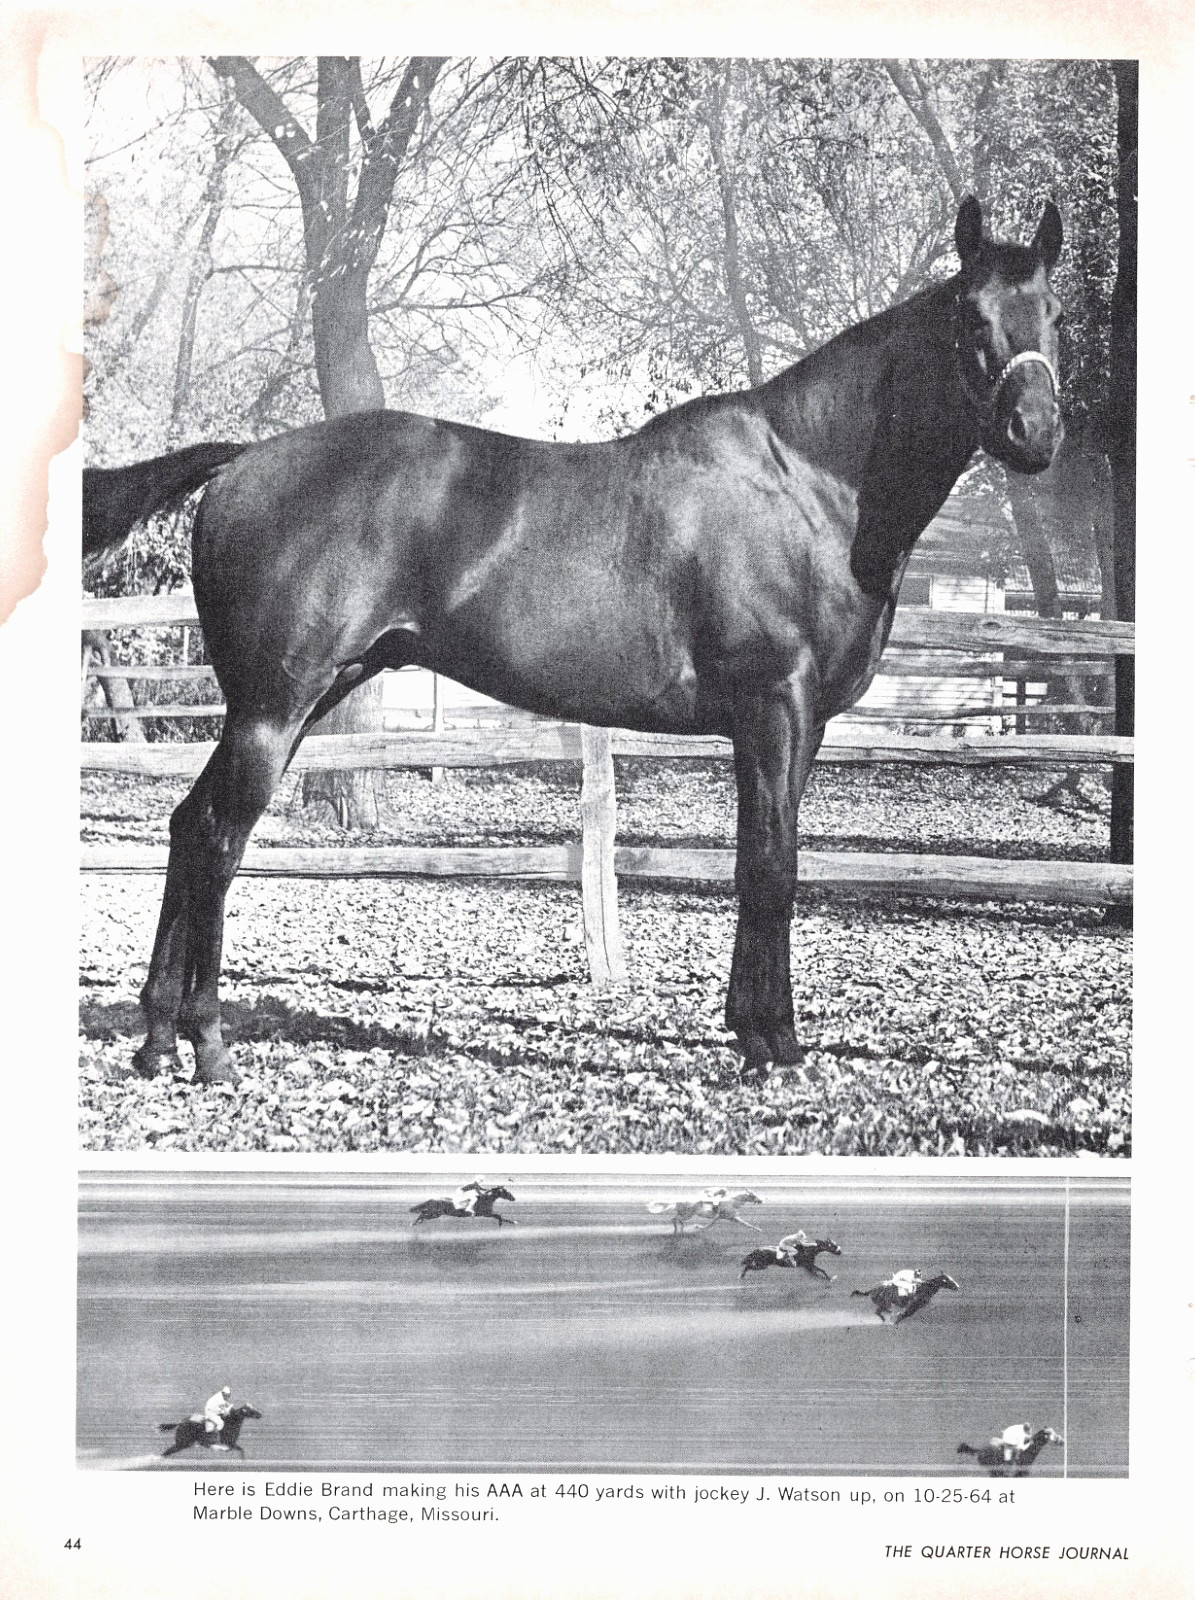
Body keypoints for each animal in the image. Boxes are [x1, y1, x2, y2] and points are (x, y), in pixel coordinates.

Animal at [85, 196, 1063, 1085]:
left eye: (1051, 312)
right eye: (970, 317)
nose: (1036, 434)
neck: (809, 481)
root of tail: (246, 460)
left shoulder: (803, 722)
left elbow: (765, 858)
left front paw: (752, 1032)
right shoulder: (771, 708)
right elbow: (770, 867)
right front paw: (775, 1048)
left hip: (293, 699)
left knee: (187, 825)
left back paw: (157, 1037)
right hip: (273, 706)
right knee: (220, 837)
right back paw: (209, 1045)